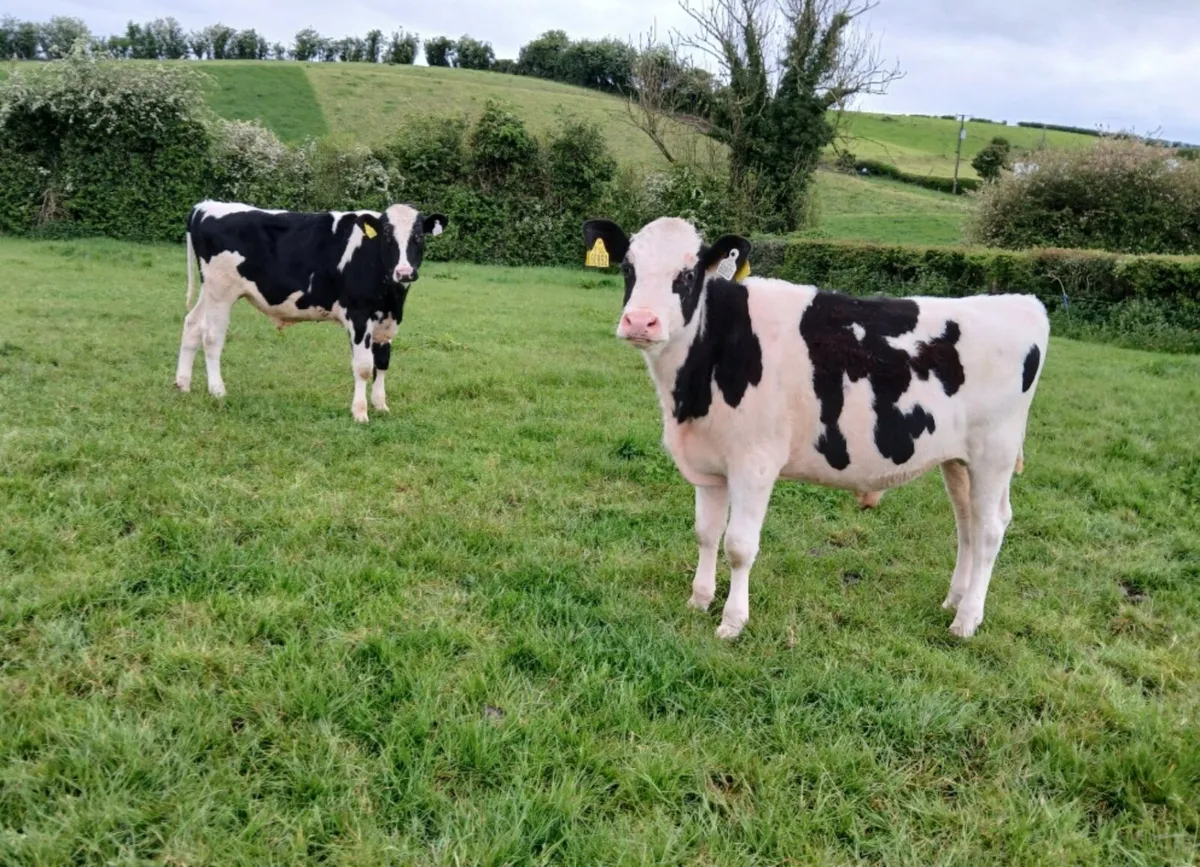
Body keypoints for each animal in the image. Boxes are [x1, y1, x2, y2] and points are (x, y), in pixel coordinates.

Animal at [176, 201, 448, 422]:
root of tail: (205, 205)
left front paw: (380, 405)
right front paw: (360, 413)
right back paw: (217, 391)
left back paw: (182, 384)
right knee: (212, 337)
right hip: (221, 293)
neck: (391, 294)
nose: (404, 272)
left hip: (209, 291)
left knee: (192, 325)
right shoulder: (358, 316)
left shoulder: (387, 320)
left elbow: (382, 363)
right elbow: (363, 366)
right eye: (387, 237)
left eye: (419, 237)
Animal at [583, 216, 1049, 641]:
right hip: (957, 459)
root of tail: (1020, 303)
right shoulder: (710, 463)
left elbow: (739, 546)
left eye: (688, 274)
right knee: (967, 522)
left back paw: (966, 620)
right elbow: (705, 534)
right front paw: (699, 599)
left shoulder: (755, 463)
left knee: (989, 528)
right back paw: (954, 599)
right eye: (628, 268)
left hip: (994, 454)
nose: (640, 322)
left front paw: (732, 622)